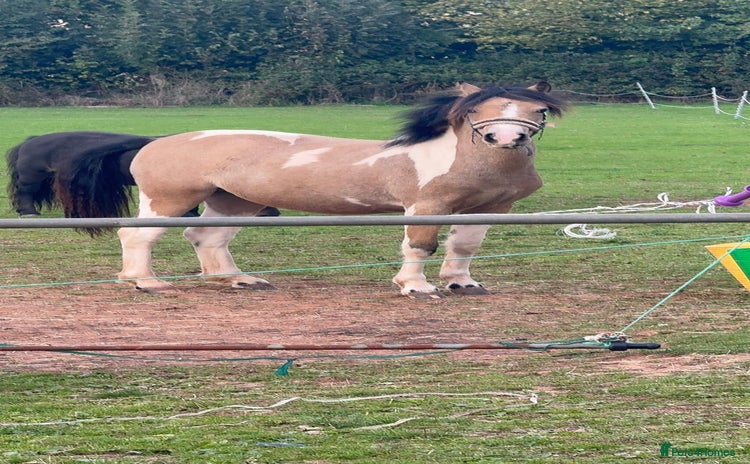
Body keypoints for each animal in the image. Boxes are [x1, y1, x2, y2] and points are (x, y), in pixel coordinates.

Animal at [62, 82, 567, 298]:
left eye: (537, 110)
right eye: (477, 110)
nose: (506, 138)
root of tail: (154, 140)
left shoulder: (489, 208)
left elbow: (464, 247)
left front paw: (463, 283)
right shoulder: (426, 205)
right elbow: (419, 247)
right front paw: (416, 287)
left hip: (236, 201)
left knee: (206, 238)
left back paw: (237, 279)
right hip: (170, 200)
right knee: (137, 236)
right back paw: (144, 281)